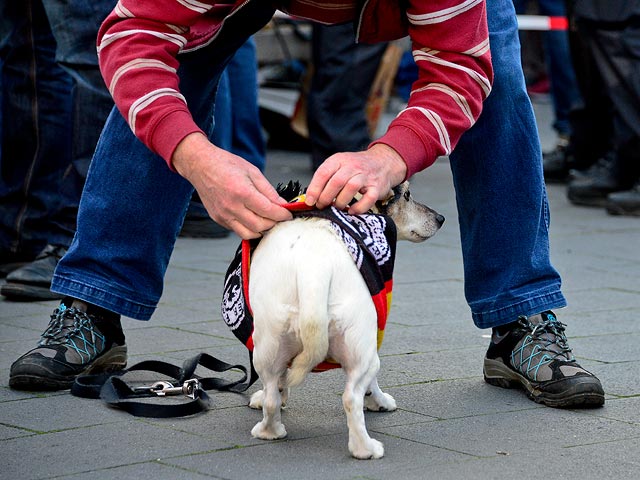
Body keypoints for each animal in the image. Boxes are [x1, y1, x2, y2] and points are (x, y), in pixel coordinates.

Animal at [248, 182, 442, 460]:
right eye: (406, 195)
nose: (441, 218)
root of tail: (313, 269)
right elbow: (372, 385)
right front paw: (380, 402)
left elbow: (279, 385)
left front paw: (267, 398)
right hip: (364, 350)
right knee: (352, 398)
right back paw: (366, 449)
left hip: (268, 345)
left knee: (273, 391)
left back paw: (269, 431)